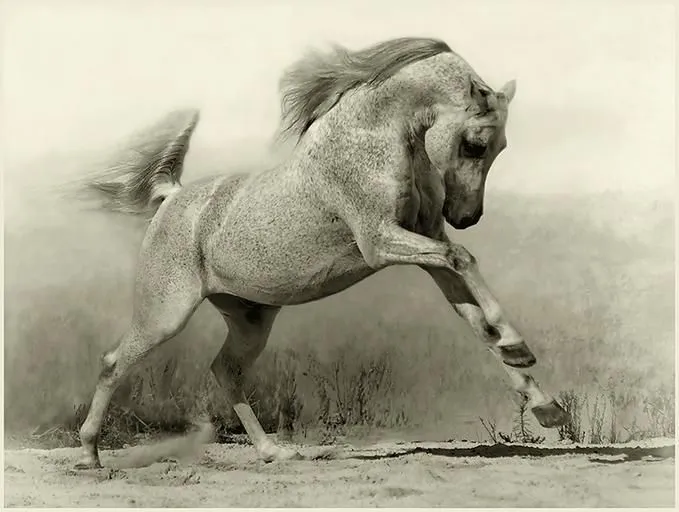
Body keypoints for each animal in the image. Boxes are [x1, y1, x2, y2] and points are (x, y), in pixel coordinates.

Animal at [72, 36, 569, 469]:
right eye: (475, 144)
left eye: (500, 147)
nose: (467, 216)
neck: (374, 138)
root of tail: (171, 197)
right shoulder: (381, 242)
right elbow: (464, 259)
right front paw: (518, 346)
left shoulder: (427, 244)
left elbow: (476, 321)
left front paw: (544, 401)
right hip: (165, 315)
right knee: (114, 364)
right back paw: (89, 455)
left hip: (250, 319)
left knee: (225, 371)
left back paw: (275, 452)